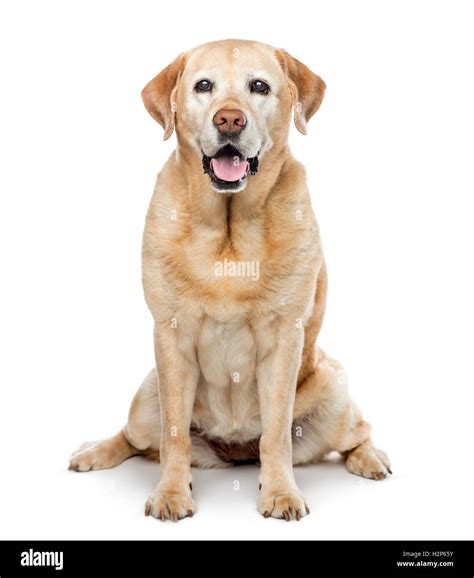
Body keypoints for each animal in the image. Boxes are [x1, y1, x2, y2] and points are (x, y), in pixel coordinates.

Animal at [69, 38, 388, 520]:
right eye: (204, 86)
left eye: (259, 86)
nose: (230, 119)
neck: (229, 227)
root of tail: (234, 453)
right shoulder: (170, 336)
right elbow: (174, 435)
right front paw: (172, 493)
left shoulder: (284, 339)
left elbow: (276, 433)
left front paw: (280, 492)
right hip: (147, 397)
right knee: (136, 438)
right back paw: (93, 452)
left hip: (334, 390)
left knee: (358, 430)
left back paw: (370, 458)